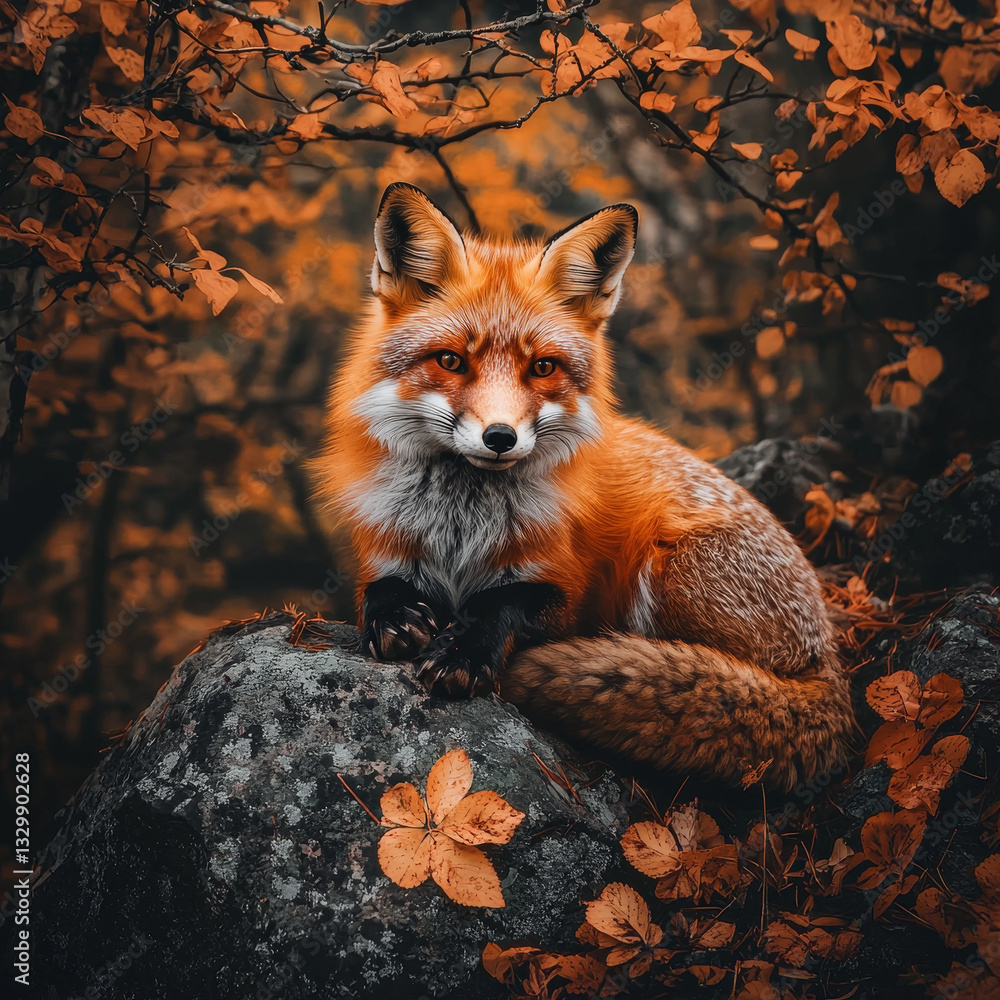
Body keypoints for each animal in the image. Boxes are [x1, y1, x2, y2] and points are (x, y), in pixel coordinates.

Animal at [313, 182, 855, 790]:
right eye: (451, 360)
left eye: (543, 368)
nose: (499, 437)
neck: (461, 531)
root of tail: (830, 655)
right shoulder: (386, 554)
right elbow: (378, 592)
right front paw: (395, 617)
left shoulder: (563, 591)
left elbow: (503, 603)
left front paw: (466, 652)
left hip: (666, 568)